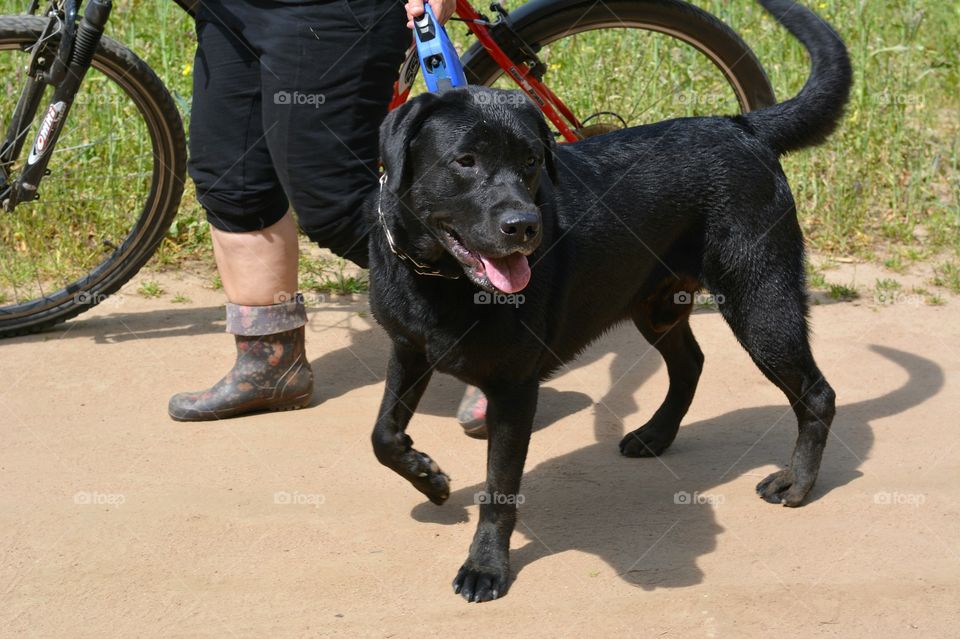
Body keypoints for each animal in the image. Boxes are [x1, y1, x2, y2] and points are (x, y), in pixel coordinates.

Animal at [366, 0, 848, 604]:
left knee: (816, 391)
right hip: (656, 305)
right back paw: (655, 434)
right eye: (465, 160)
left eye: (532, 161)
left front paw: (486, 566)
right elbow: (382, 434)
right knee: (691, 363)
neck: (439, 278)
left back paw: (797, 482)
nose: (524, 226)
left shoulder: (514, 390)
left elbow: (500, 489)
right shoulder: (408, 348)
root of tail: (740, 125)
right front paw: (427, 477)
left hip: (761, 301)